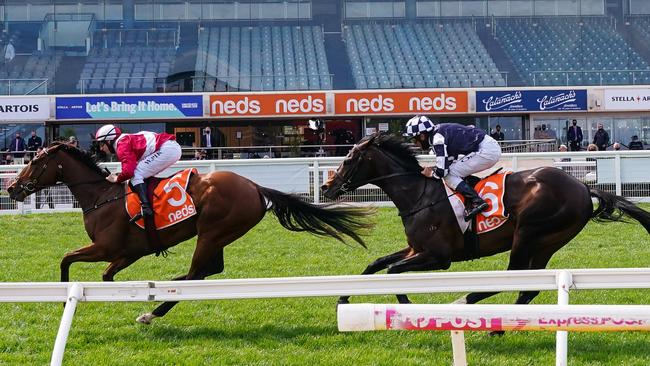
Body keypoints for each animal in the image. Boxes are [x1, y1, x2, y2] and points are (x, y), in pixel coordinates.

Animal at [5, 142, 372, 324]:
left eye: (35, 162)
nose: (11, 187)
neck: (101, 196)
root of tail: (255, 186)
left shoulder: (106, 247)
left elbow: (67, 259)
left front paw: (62, 293)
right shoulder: (126, 253)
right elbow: (107, 276)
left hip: (211, 232)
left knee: (198, 272)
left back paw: (153, 311)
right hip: (220, 235)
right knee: (209, 270)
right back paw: (163, 293)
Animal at [318, 133, 648, 308]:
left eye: (349, 159)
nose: (325, 186)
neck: (418, 195)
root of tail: (582, 187)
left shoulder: (439, 256)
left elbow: (393, 271)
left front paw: (408, 308)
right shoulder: (415, 248)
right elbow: (376, 265)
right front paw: (343, 298)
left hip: (528, 233)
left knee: (513, 277)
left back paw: (465, 304)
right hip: (546, 243)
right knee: (528, 287)